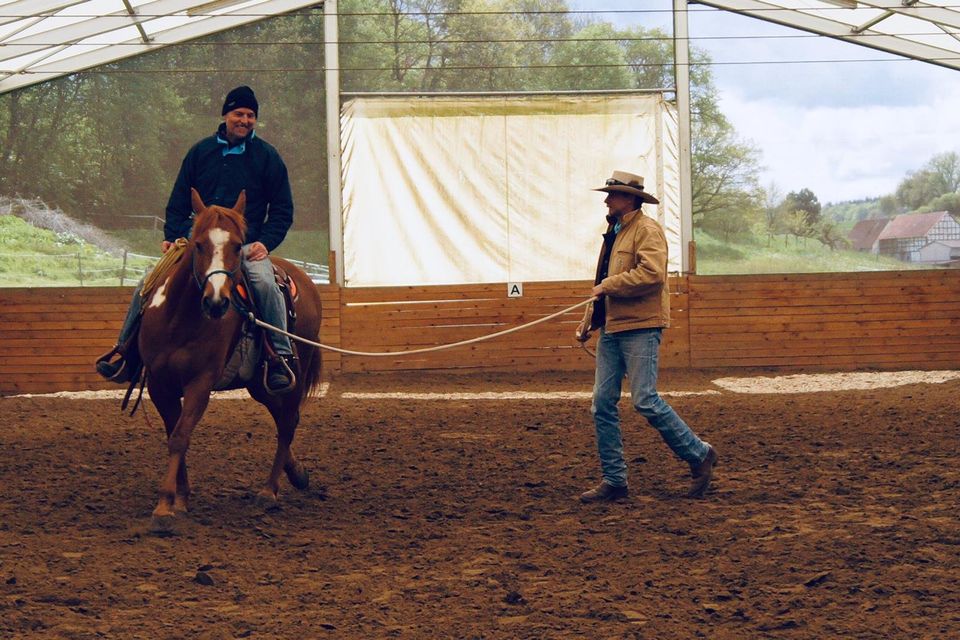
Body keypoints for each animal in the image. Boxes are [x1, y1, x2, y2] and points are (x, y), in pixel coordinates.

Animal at [139, 188, 324, 532]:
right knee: (283, 417)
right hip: (259, 384)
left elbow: (180, 436)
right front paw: (181, 499)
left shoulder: (200, 383)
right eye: (198, 244)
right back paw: (296, 473)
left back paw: (270, 490)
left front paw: (164, 505)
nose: (216, 301)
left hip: (295, 371)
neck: (178, 320)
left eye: (238, 245)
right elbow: (174, 433)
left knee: (287, 422)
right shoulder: (159, 384)